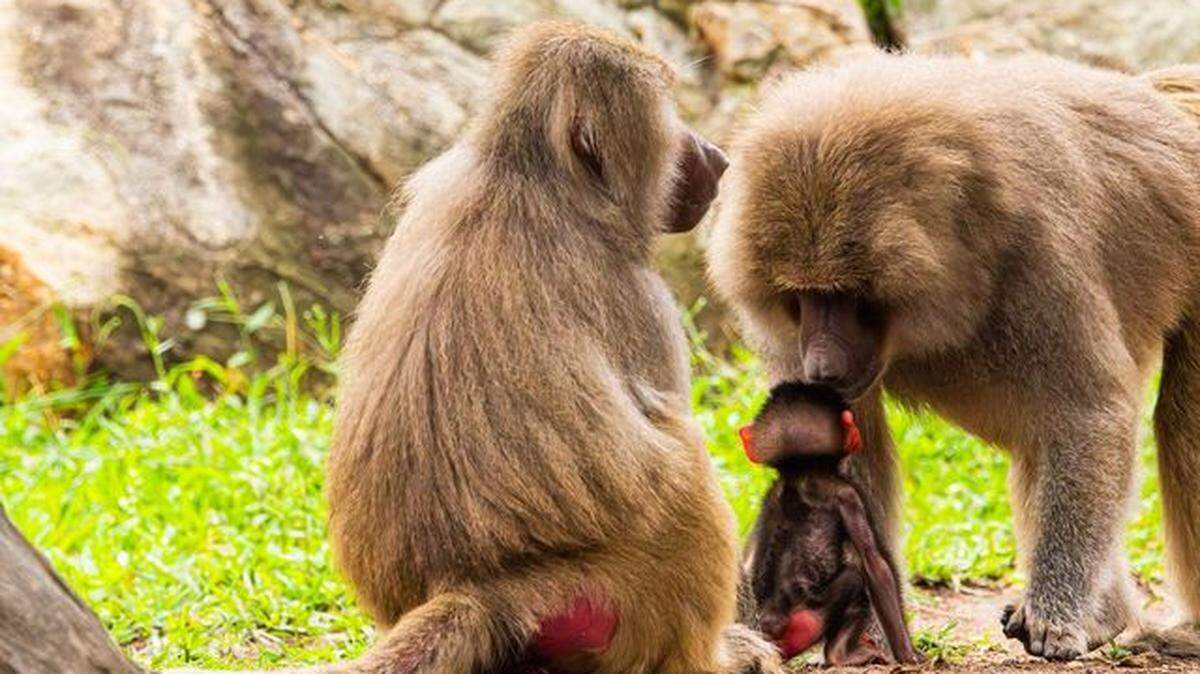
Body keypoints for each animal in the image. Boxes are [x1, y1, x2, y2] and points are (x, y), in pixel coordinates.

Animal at [318, 21, 781, 674]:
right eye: (670, 117)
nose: (718, 157)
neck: (530, 174)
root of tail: (479, 587)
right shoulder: (641, 298)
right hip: (621, 591)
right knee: (680, 453)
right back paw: (716, 658)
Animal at [738, 383, 918, 666]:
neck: (802, 470)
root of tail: (773, 618)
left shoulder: (770, 497)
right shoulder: (849, 495)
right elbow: (874, 563)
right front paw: (908, 654)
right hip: (809, 619)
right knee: (856, 579)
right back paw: (841, 654)